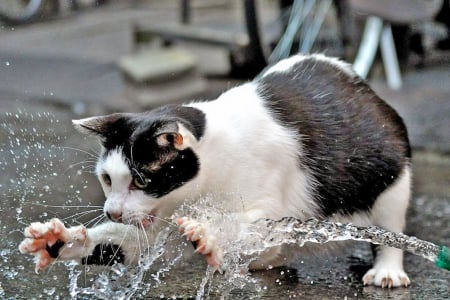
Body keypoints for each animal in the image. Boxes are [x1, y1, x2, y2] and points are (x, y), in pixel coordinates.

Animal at [18, 54, 412, 288]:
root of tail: (356, 81)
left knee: (390, 228)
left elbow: (244, 225)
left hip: (391, 179)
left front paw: (209, 235)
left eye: (142, 179)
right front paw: (59, 239)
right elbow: (118, 243)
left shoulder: (276, 207)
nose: (111, 210)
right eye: (107, 179)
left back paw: (388, 271)